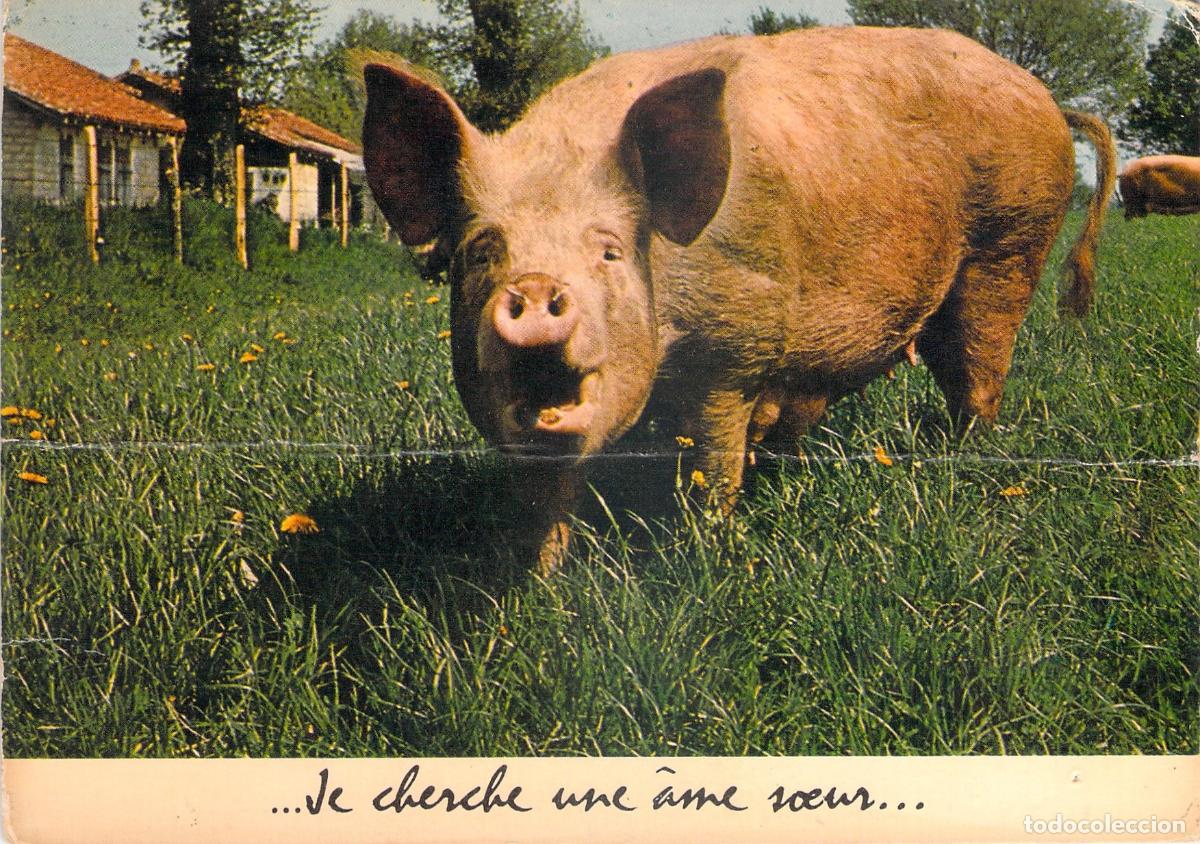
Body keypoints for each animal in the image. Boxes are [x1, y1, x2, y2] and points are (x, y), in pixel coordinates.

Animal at [362, 27, 1116, 574]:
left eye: (608, 252)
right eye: (482, 252)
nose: (539, 287)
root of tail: (1047, 100)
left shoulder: (735, 350)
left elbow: (711, 470)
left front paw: (706, 559)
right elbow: (547, 506)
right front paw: (536, 590)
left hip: (1009, 247)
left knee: (979, 376)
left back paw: (962, 465)